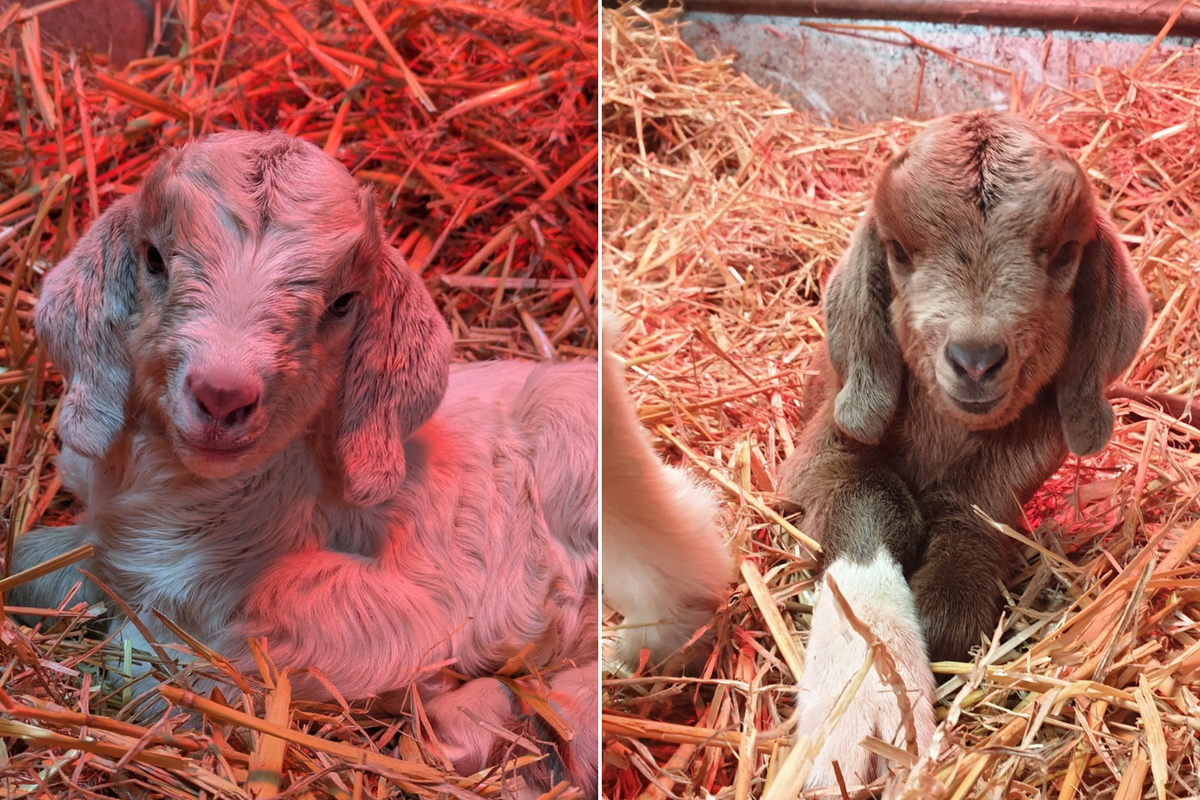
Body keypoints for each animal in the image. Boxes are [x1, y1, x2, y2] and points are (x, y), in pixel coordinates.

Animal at [8, 130, 599, 795]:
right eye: (154, 259)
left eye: (343, 302)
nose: (222, 395)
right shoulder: (106, 545)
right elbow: (32, 558)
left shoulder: (414, 609)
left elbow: (162, 664)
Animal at [779, 110, 1150, 789]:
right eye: (898, 251)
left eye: (1065, 253)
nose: (975, 359)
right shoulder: (817, 457)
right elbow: (869, 498)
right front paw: (869, 703)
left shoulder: (1015, 477)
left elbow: (976, 525)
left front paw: (945, 611)